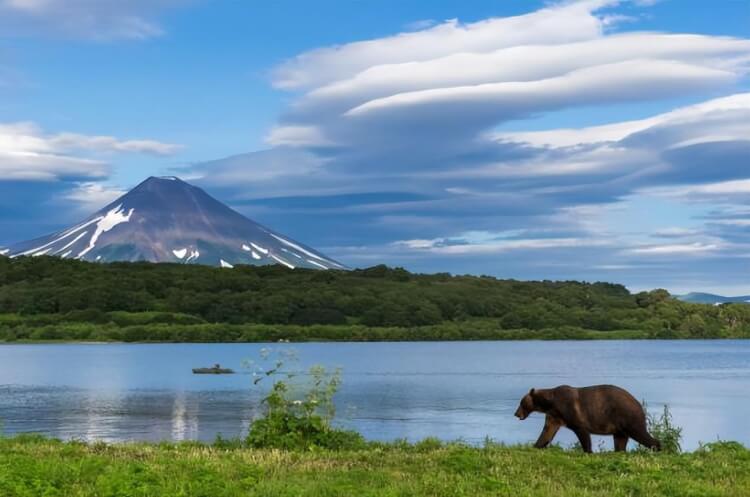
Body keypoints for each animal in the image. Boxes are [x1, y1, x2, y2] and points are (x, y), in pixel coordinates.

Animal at [516, 386, 664, 452]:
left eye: (521, 403)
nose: (516, 414)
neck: (550, 404)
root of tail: (639, 403)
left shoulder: (570, 410)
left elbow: (582, 431)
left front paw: (588, 451)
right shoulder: (554, 417)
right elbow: (547, 432)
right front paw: (536, 446)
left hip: (627, 416)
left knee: (640, 433)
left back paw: (657, 447)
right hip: (619, 426)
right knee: (620, 441)